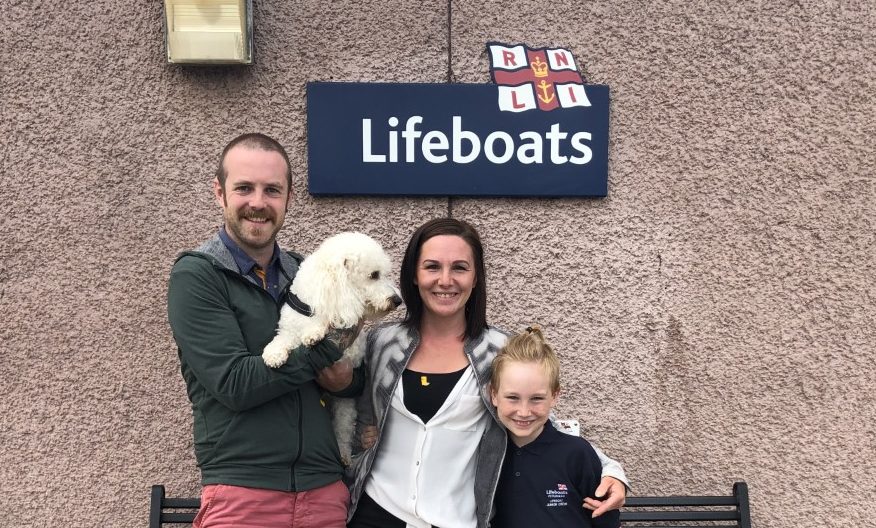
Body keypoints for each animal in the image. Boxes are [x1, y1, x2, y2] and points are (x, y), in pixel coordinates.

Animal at [258, 231, 398, 466]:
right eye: (374, 275)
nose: (397, 300)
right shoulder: (289, 326)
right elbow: (284, 338)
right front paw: (274, 353)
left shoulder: (349, 349)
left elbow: (326, 325)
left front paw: (314, 332)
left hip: (344, 407)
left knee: (343, 432)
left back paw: (343, 454)